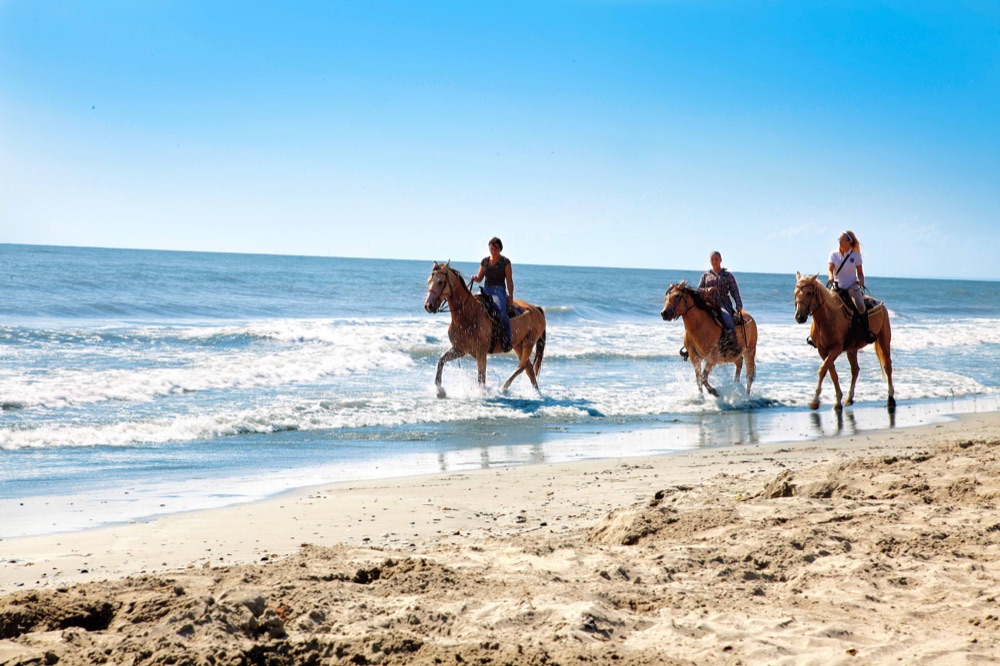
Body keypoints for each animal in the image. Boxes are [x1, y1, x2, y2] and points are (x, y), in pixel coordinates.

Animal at [424, 261, 547, 398]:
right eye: (429, 281)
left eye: (440, 282)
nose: (428, 306)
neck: (469, 314)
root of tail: (536, 309)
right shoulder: (460, 349)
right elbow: (441, 361)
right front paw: (439, 390)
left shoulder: (481, 353)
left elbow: (481, 378)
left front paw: (482, 393)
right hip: (518, 345)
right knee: (528, 368)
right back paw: (535, 392)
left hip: (529, 343)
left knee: (523, 366)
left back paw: (504, 387)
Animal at [793, 272, 895, 411]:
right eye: (795, 293)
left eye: (809, 293)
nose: (799, 317)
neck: (827, 318)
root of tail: (881, 305)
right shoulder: (823, 351)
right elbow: (832, 373)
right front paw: (838, 401)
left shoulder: (836, 349)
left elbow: (822, 370)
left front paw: (815, 401)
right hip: (852, 349)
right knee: (855, 370)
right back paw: (849, 398)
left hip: (883, 340)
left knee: (887, 366)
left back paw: (891, 398)